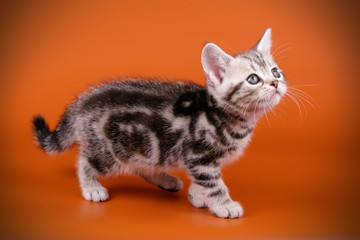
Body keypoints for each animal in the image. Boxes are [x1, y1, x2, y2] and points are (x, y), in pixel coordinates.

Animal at [31, 27, 286, 218]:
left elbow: (202, 180)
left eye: (276, 72)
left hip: (142, 146)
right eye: (253, 79)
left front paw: (197, 196)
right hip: (109, 150)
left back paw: (166, 180)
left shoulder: (199, 161)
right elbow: (214, 183)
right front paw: (224, 204)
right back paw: (92, 188)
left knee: (141, 164)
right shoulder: (199, 156)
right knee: (85, 160)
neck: (227, 117)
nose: (275, 83)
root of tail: (83, 102)